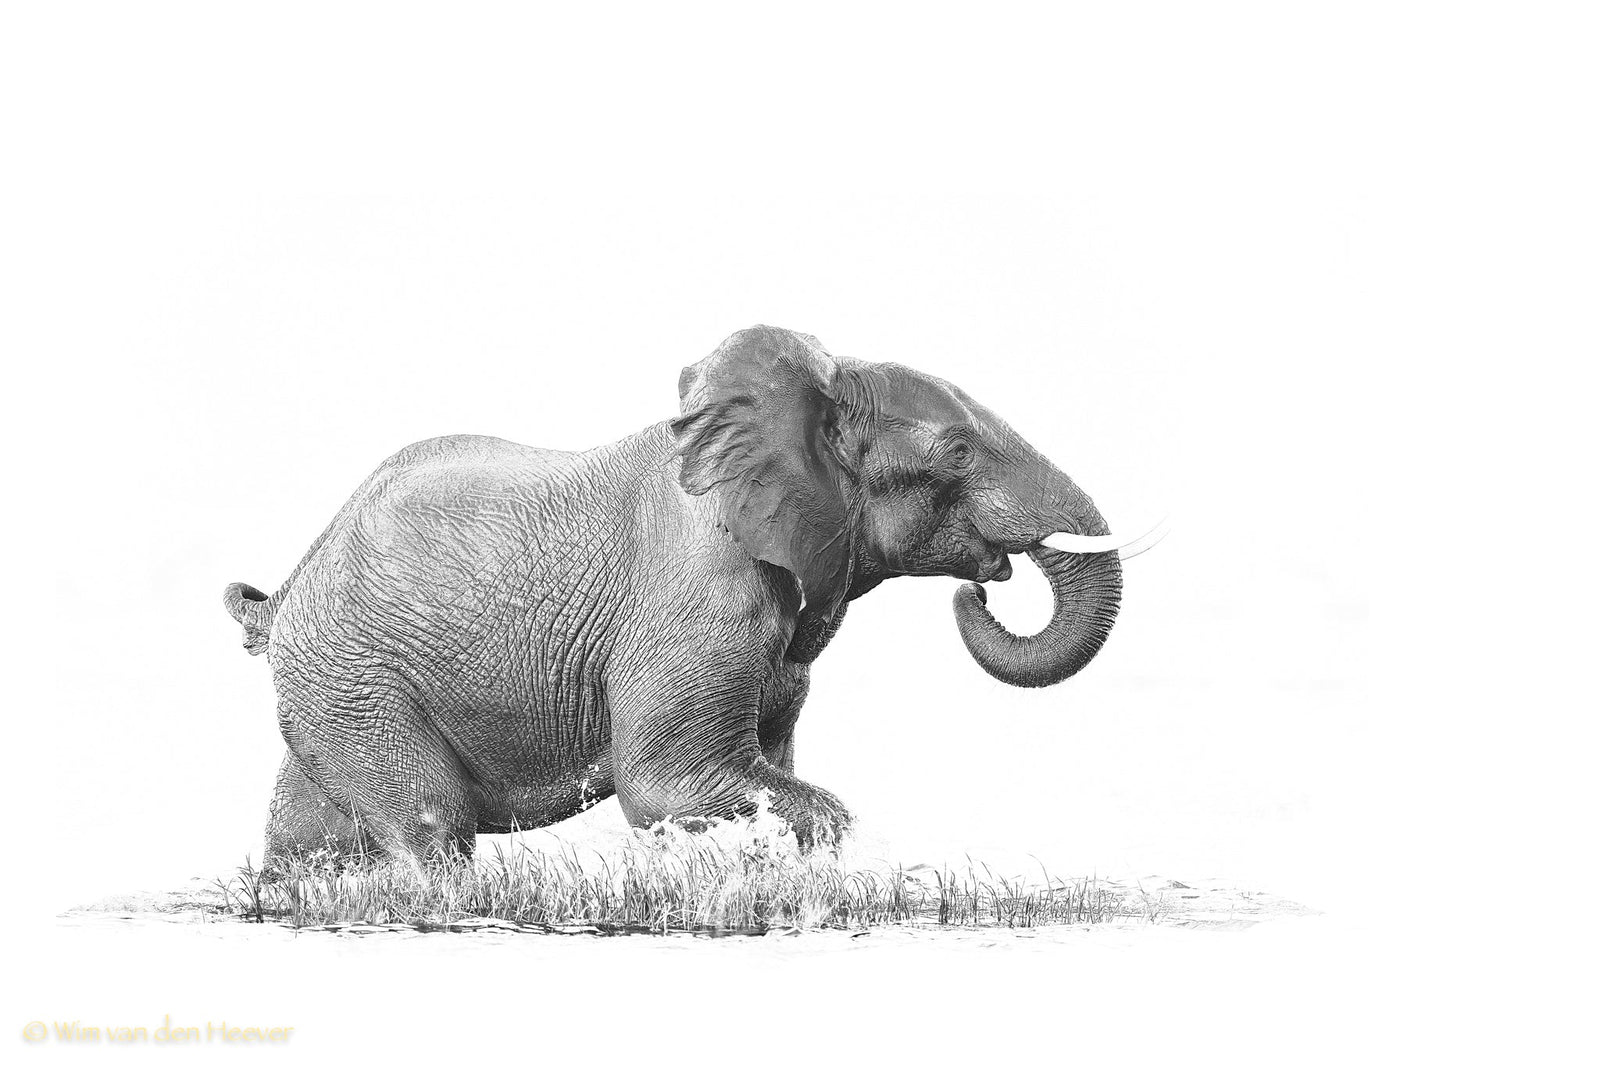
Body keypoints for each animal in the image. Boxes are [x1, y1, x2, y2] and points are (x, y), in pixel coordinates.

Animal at [224, 326, 1124, 865]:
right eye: (959, 452)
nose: (983, 587)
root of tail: (288, 589)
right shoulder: (698, 601)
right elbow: (668, 782)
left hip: (333, 687)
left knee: (310, 835)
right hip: (355, 678)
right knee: (430, 822)